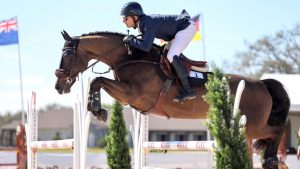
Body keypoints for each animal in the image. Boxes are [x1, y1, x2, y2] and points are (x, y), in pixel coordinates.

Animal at [55, 30, 290, 169]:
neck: (131, 56)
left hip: (252, 126)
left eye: (67, 54)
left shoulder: (132, 93)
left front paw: (97, 109)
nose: (59, 86)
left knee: (276, 130)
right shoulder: (128, 96)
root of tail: (262, 84)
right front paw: (96, 108)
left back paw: (270, 159)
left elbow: (98, 80)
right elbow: (98, 82)